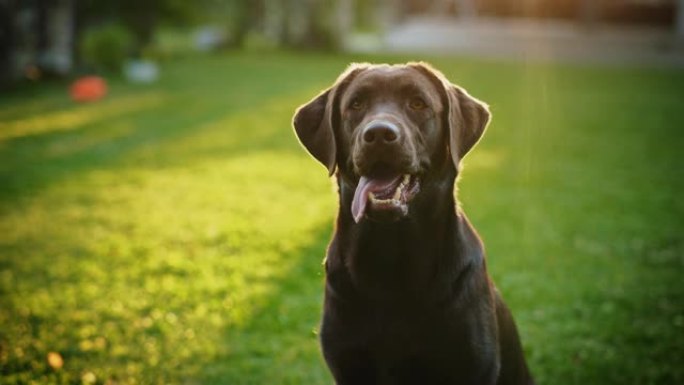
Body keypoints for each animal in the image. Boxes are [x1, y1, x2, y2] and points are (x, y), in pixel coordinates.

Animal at [292, 61, 532, 382]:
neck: (391, 257)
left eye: (418, 103)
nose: (379, 134)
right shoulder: (349, 363)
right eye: (356, 104)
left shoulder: (473, 366)